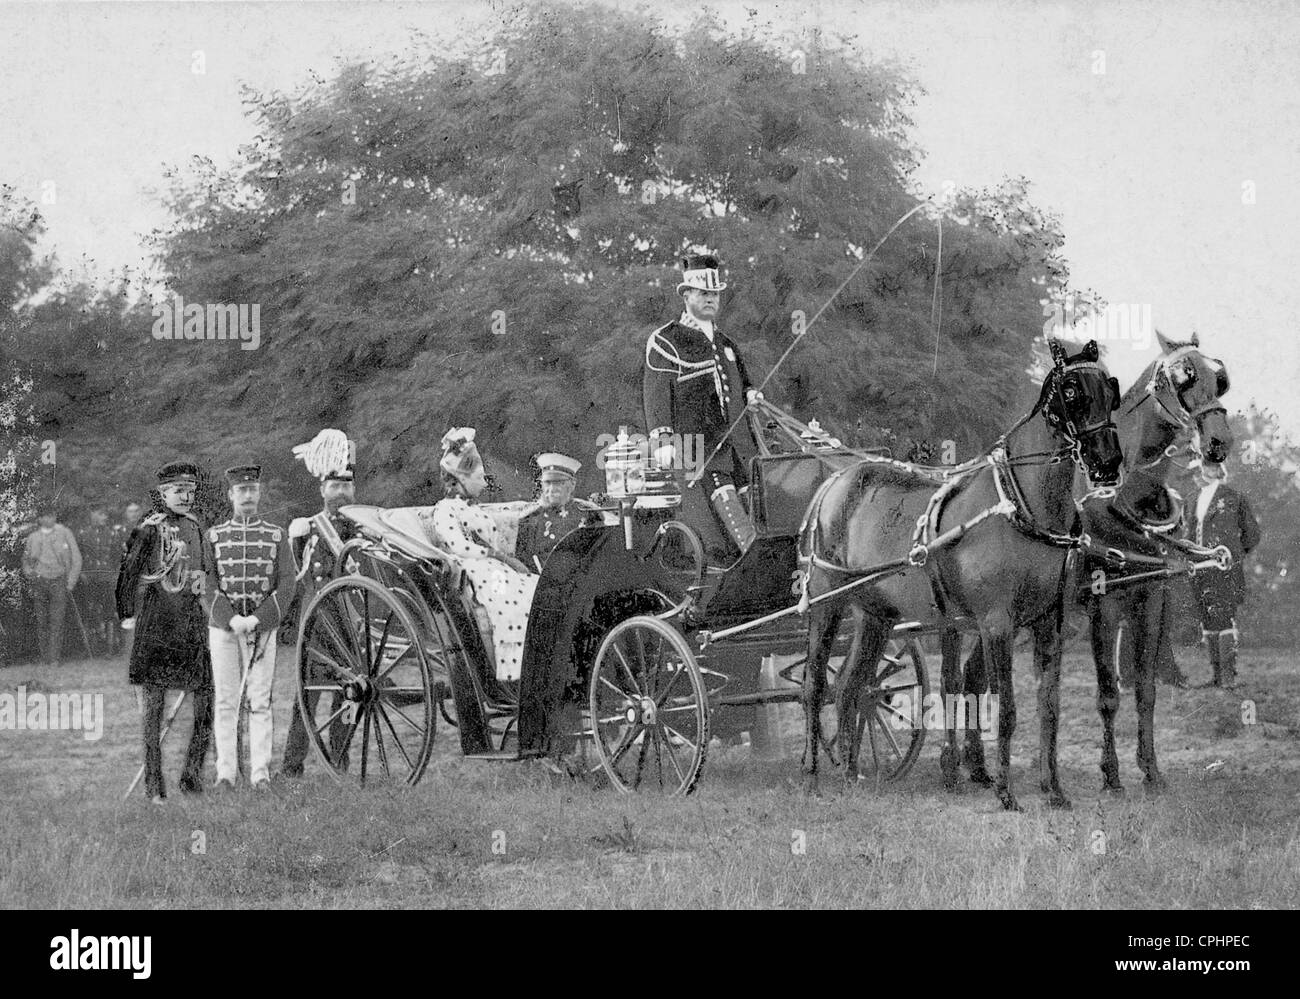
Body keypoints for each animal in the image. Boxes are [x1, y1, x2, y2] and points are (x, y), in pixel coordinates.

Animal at [795, 338, 1123, 806]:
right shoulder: (996, 623)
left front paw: (1053, 789)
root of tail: (833, 481)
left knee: (851, 687)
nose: (1107, 461)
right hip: (827, 603)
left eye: (1111, 390)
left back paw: (851, 775)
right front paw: (1005, 793)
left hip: (874, 615)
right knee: (814, 684)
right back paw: (812, 774)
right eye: (1072, 391)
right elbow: (1006, 709)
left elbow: (1049, 706)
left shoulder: (1050, 622)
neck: (1023, 505)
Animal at [961, 331, 1232, 801]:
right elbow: (1108, 694)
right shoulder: (1104, 607)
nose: (1218, 443)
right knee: (970, 677)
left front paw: (1151, 771)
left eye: (1219, 378)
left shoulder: (1151, 599)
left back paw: (977, 768)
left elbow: (1145, 689)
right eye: (1184, 376)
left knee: (973, 676)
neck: (1125, 502)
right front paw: (1112, 775)